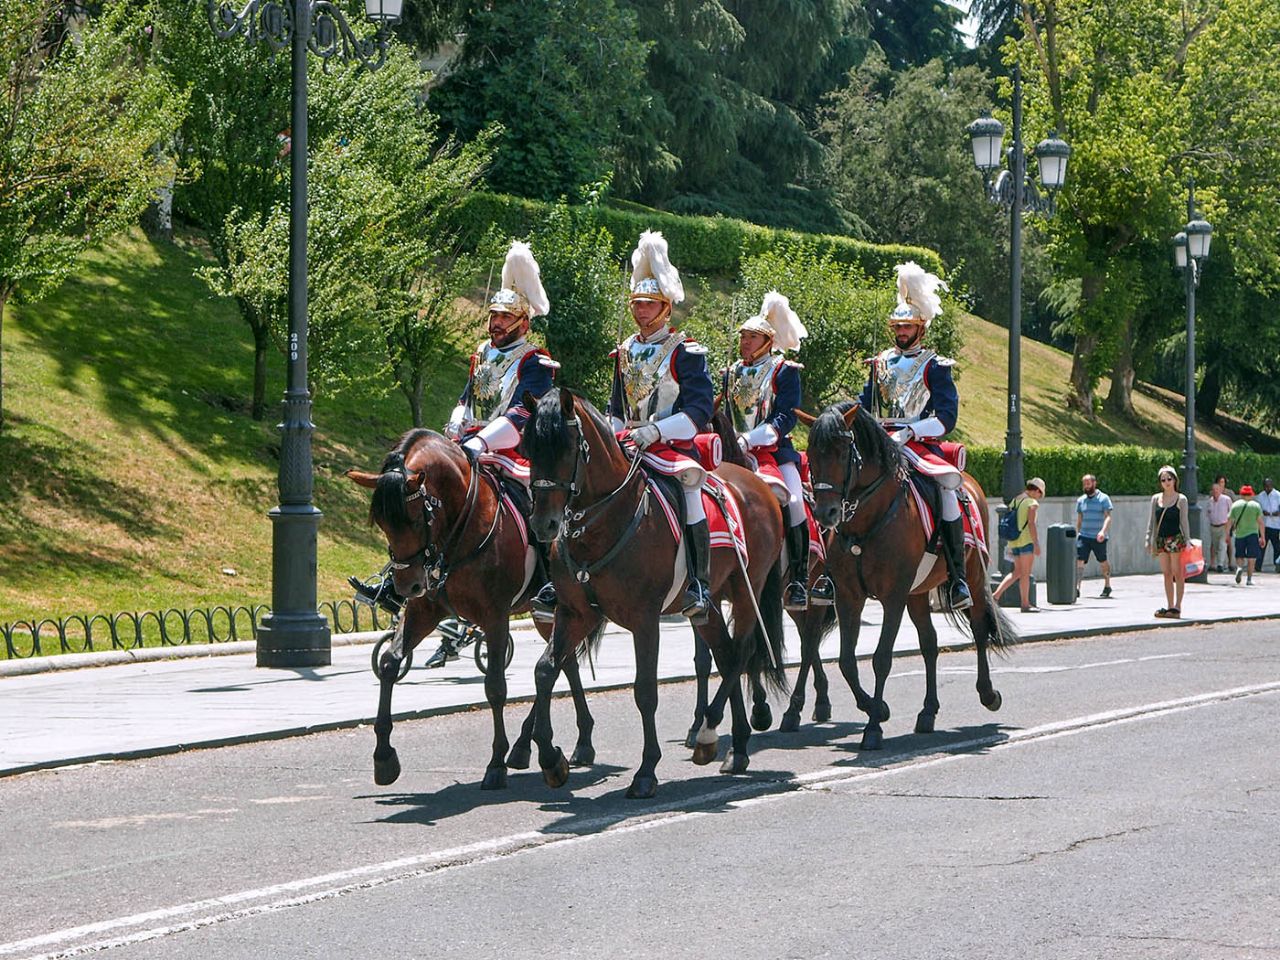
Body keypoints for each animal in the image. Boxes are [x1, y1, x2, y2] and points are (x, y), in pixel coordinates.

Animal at [343, 432, 596, 793]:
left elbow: (495, 687)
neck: (460, 526)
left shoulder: (494, 616)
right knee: (565, 662)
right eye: (381, 522)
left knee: (557, 663)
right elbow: (390, 663)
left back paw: (536, 747)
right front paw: (384, 756)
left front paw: (495, 764)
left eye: (415, 518)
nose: (406, 586)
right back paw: (565, 743)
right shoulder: (425, 609)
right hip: (550, 614)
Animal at [522, 386, 788, 798]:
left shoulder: (645, 619)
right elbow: (545, 670)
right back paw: (735, 747)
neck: (605, 520)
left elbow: (645, 690)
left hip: (748, 592)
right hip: (709, 606)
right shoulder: (574, 613)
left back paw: (708, 731)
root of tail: (759, 486)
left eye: (566, 448)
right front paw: (551, 760)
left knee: (740, 654)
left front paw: (646, 771)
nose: (543, 524)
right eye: (530, 449)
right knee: (727, 655)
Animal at [803, 399, 1013, 752]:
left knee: (979, 628)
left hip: (972, 577)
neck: (865, 523)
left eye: (843, 451)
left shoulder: (893, 596)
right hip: (918, 593)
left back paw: (989, 694)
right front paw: (876, 709)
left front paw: (873, 728)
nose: (825, 513)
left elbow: (881, 659)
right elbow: (847, 661)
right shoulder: (848, 596)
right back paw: (927, 713)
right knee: (929, 643)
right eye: (810, 453)